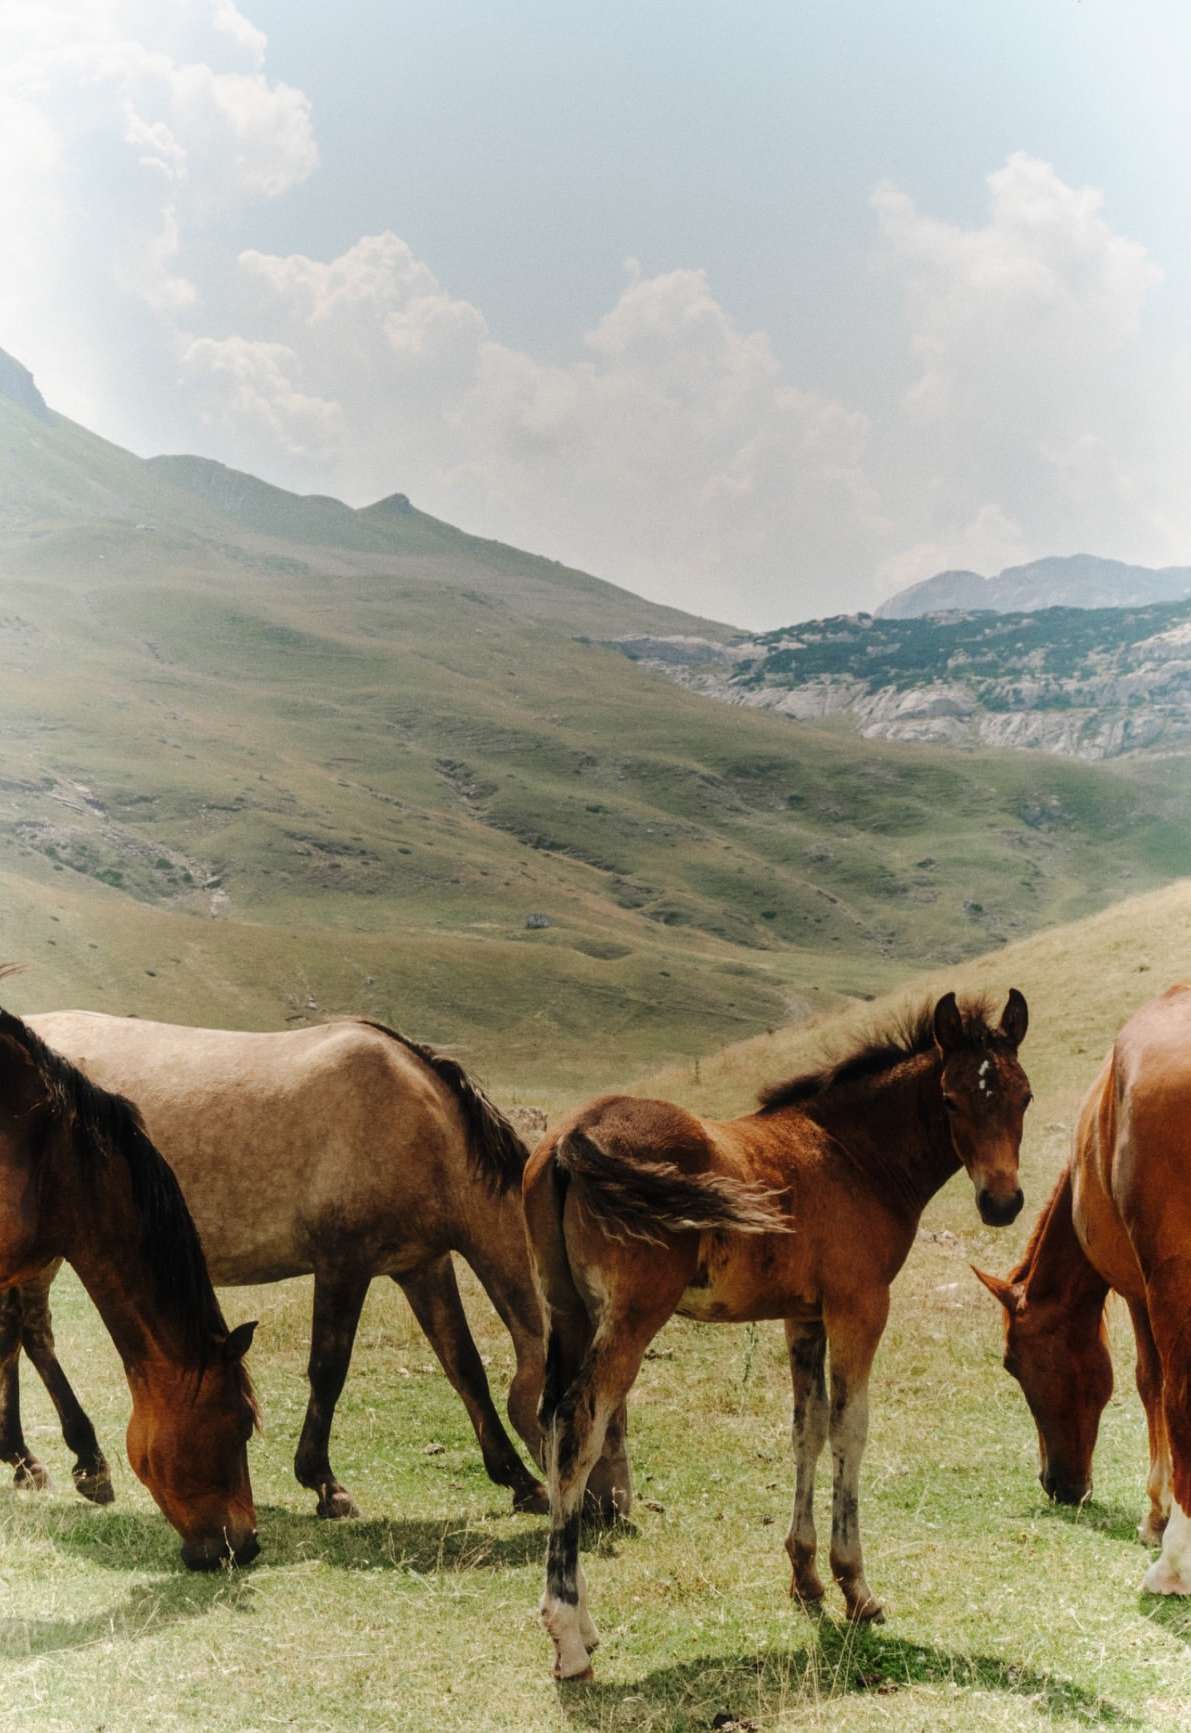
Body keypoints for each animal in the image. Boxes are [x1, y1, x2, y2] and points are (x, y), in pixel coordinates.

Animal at [13, 1009, 547, 1519]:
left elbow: (465, 1367)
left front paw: (520, 1481)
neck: (419, 1124)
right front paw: (326, 1484)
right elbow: (329, 1370)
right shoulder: (343, 1265)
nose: (580, 1515)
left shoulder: (423, 1266)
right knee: (33, 1336)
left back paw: (26, 1463)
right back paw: (82, 1462)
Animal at [503, 988, 1032, 1679]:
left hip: (566, 1311)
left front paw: (805, 1577)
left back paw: (584, 1626)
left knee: (551, 1420)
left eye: (1024, 1097)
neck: (854, 1156)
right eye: (950, 1099)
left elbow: (806, 1429)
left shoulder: (803, 1316)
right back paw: (567, 1637)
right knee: (578, 1426)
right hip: (630, 1317)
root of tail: (573, 1136)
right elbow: (849, 1430)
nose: (1002, 1203)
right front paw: (855, 1586)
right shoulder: (860, 1306)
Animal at [975, 982, 1191, 1597]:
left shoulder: (1140, 1290)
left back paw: (1173, 1562)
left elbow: (1150, 1384)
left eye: (1014, 1365)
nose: (1056, 1485)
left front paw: (1155, 1515)